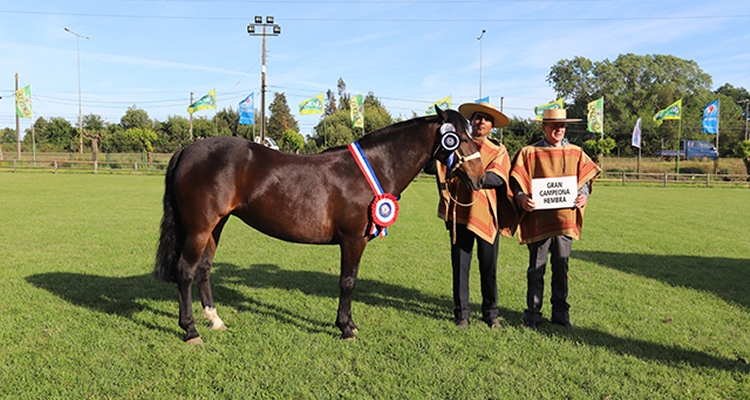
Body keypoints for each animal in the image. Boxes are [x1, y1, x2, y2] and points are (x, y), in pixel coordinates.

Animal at [157, 107, 488, 344]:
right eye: (459, 138)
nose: (481, 178)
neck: (372, 168)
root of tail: (189, 149)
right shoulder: (353, 240)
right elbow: (347, 281)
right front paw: (346, 329)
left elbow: (350, 280)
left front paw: (349, 324)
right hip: (199, 228)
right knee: (186, 271)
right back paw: (190, 331)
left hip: (216, 225)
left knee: (204, 268)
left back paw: (215, 320)